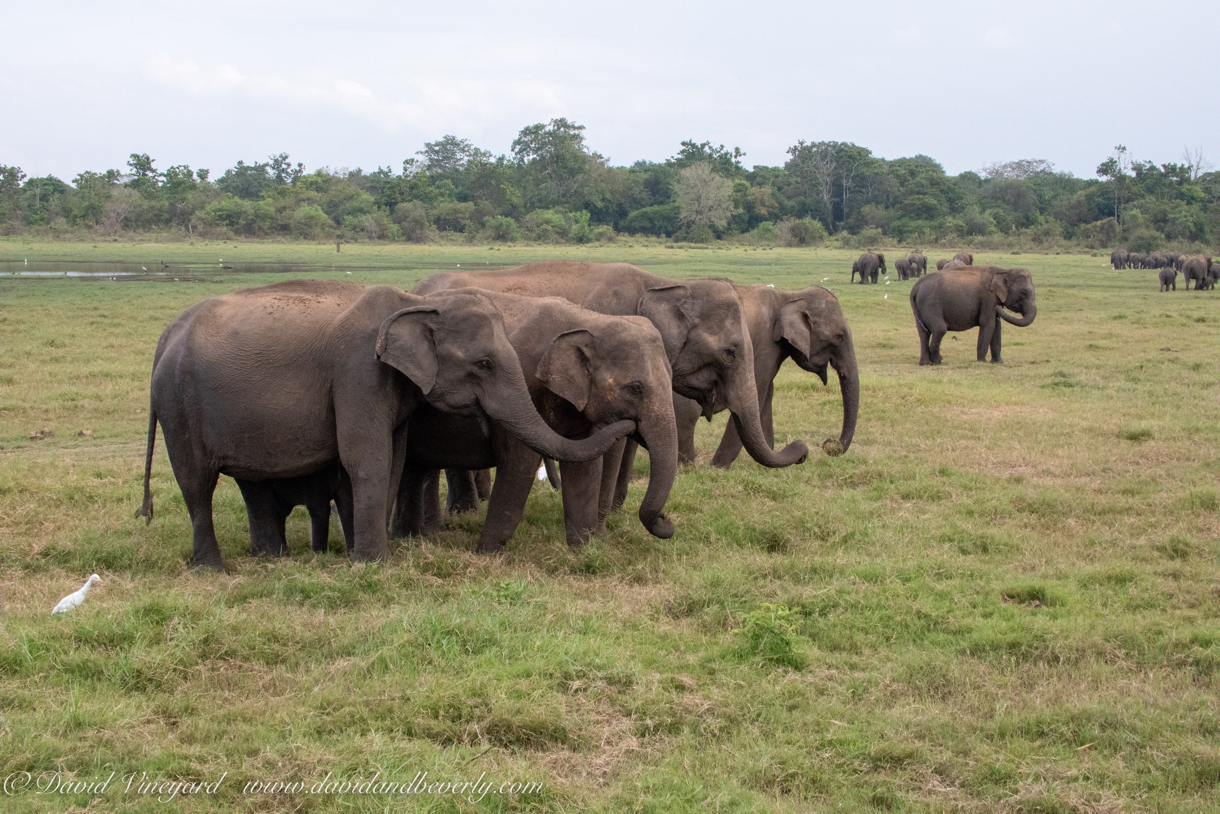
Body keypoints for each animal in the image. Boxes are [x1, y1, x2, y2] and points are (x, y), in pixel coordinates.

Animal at [137, 277, 634, 571]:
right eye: (484, 363)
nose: (628, 422)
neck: (417, 304)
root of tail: (165, 337)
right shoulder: (358, 373)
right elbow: (368, 458)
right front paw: (371, 566)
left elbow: (394, 460)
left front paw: (378, 555)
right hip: (178, 407)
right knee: (196, 484)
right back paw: (213, 569)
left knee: (247, 484)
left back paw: (270, 561)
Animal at [390, 292, 678, 554]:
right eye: (635, 388)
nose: (666, 520)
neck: (589, 320)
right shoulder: (523, 386)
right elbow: (521, 464)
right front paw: (489, 555)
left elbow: (584, 468)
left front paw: (583, 552)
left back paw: (422, 536)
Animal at [668, 281, 858, 471]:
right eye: (839, 337)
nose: (829, 445)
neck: (789, 296)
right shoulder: (765, 348)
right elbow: (755, 397)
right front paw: (718, 468)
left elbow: (765, 398)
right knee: (688, 413)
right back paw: (687, 468)